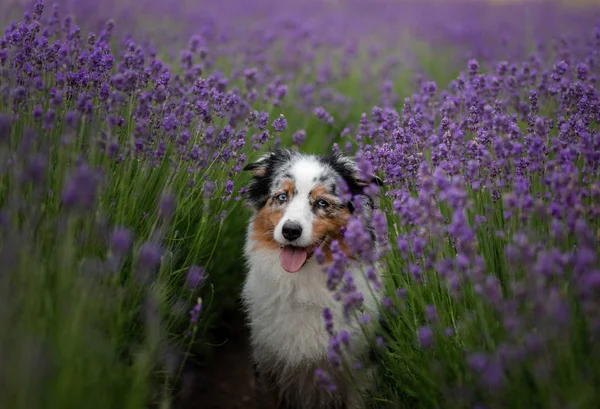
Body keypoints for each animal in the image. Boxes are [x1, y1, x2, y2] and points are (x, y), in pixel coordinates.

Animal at [241, 147, 382, 408]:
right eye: (282, 197)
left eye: (322, 202)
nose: (290, 231)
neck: (302, 282)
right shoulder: (267, 366)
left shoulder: (360, 370)